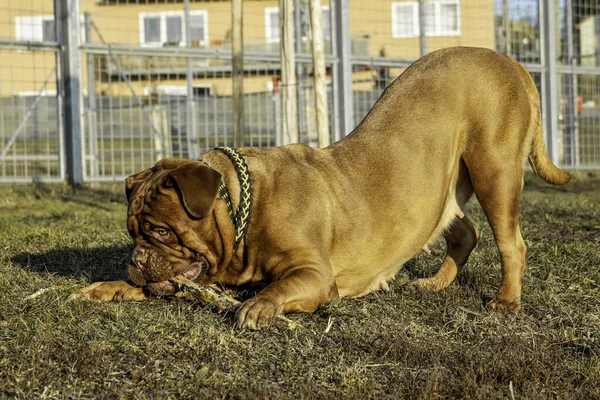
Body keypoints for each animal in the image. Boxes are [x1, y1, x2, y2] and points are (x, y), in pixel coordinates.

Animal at [74, 47, 572, 328]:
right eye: (132, 234)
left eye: (161, 232)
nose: (138, 259)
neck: (243, 208)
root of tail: (512, 63)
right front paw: (107, 286)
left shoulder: (313, 273)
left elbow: (275, 289)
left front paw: (259, 308)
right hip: (448, 185)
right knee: (464, 231)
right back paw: (433, 284)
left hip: (493, 168)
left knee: (511, 243)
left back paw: (506, 302)